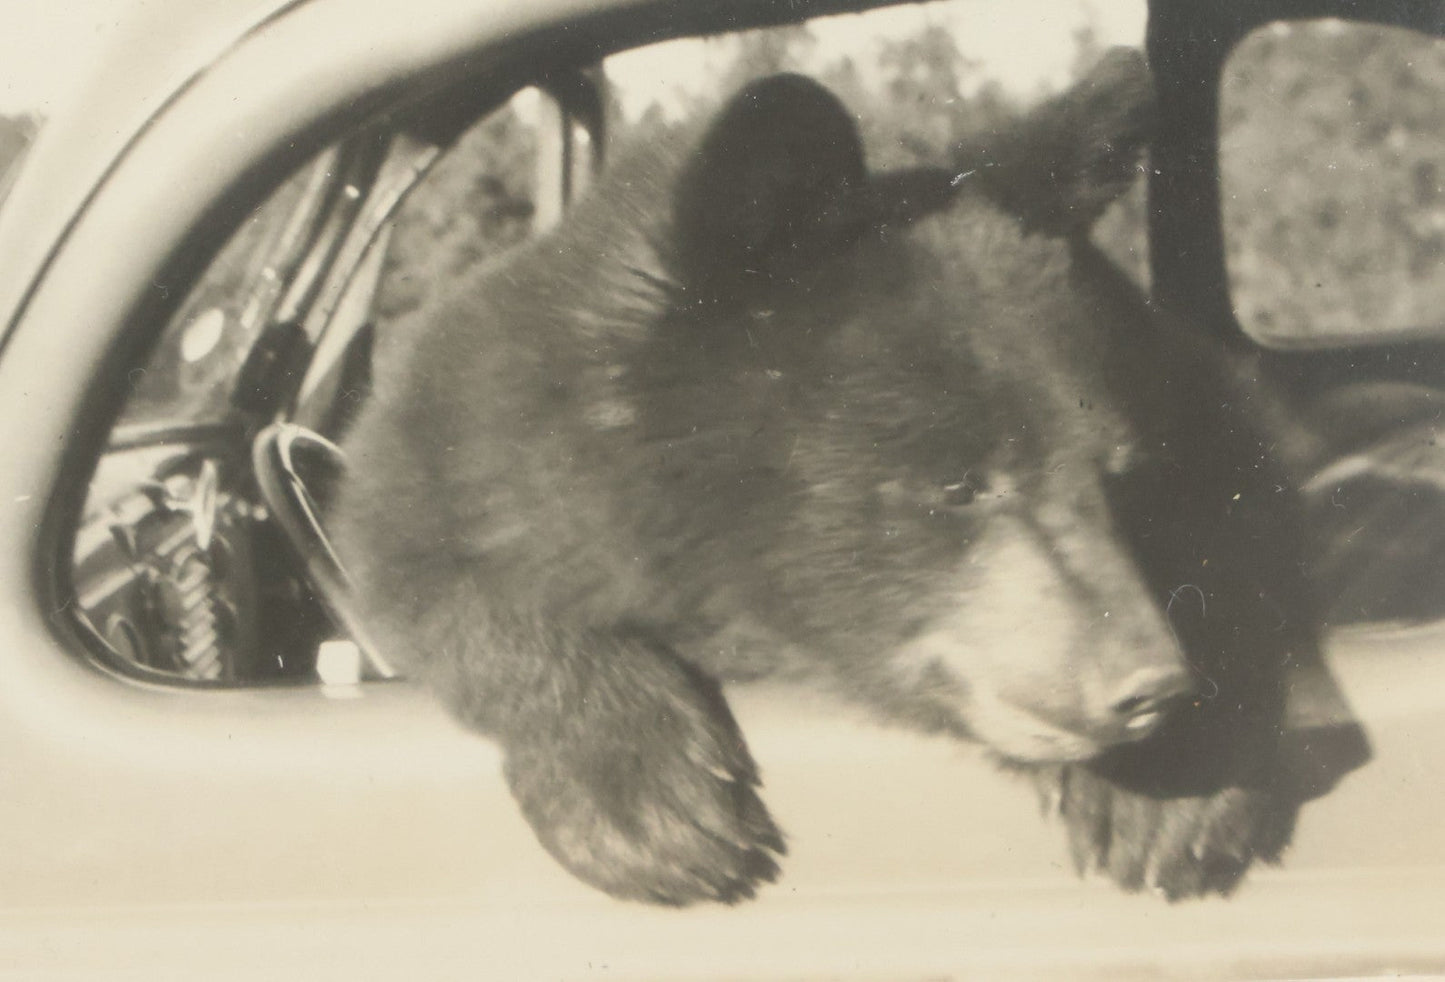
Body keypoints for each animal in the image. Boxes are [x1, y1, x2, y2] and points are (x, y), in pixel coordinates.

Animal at [328, 49, 1361, 905]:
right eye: (957, 484)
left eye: (1116, 473)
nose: (1147, 686)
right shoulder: (475, 436)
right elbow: (423, 555)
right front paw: (649, 802)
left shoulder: (1180, 390)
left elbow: (1239, 517)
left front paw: (1177, 786)